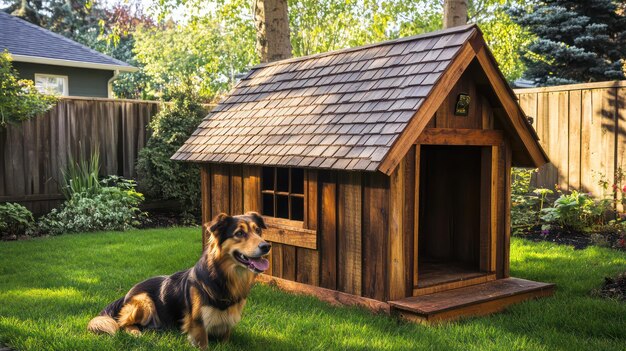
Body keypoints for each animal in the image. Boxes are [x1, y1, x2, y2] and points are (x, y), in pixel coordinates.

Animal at [88, 212, 270, 350]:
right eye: (239, 233)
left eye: (258, 230)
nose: (266, 246)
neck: (222, 277)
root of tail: (126, 294)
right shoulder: (198, 326)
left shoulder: (227, 325)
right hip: (144, 300)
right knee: (121, 323)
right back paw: (135, 333)